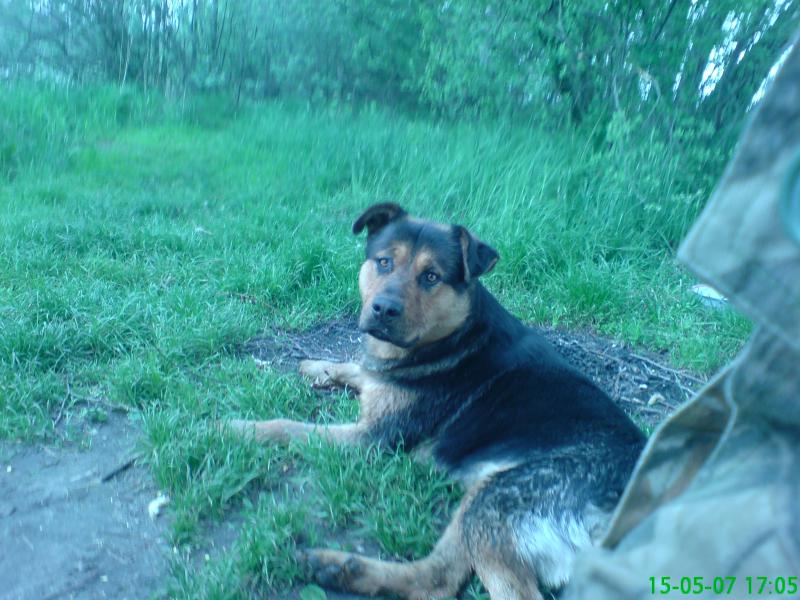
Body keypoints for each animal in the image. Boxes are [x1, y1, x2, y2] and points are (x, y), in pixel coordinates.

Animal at [228, 203, 645, 599]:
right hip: (483, 500)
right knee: (437, 577)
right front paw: (317, 366)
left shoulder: (372, 439)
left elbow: (289, 427)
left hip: (500, 500)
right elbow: (359, 368)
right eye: (384, 262)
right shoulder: (382, 379)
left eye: (431, 277)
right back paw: (342, 568)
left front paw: (234, 428)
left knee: (461, 583)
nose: (384, 309)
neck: (454, 335)